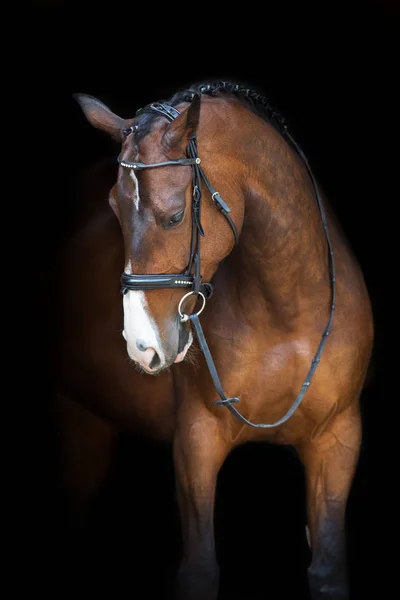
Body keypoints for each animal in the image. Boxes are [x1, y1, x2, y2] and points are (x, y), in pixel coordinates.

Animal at [51, 81, 374, 600]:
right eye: (114, 210)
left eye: (175, 215)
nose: (142, 346)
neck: (287, 313)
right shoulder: (196, 440)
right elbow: (199, 570)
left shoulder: (338, 438)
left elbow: (328, 570)